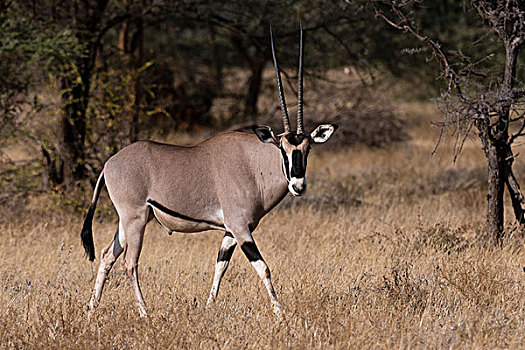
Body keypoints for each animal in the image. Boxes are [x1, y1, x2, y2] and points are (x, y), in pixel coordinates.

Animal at [81, 23, 336, 316]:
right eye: (282, 148)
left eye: (307, 149)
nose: (298, 185)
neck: (254, 166)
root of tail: (109, 164)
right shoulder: (240, 227)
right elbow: (263, 268)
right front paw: (280, 313)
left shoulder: (231, 231)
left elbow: (220, 265)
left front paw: (209, 306)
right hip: (134, 218)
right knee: (129, 263)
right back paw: (145, 313)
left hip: (130, 221)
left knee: (107, 256)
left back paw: (91, 310)